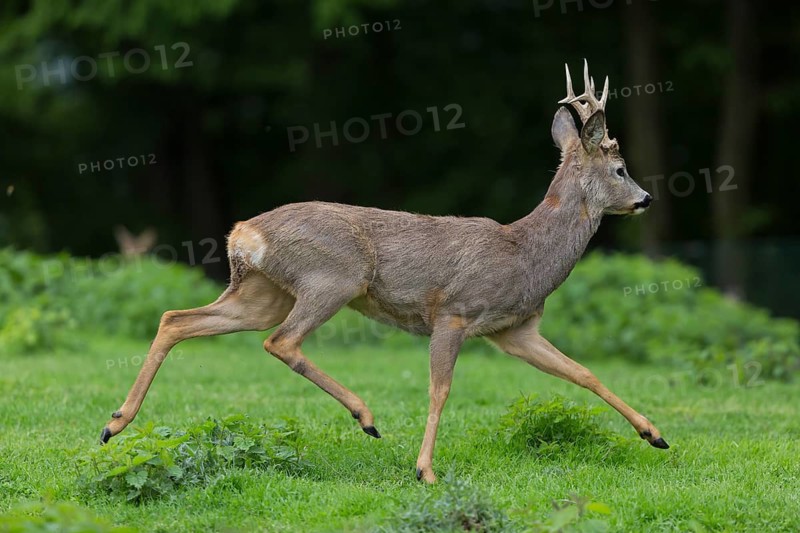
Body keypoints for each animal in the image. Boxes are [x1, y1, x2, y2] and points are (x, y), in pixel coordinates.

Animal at [100, 60, 666, 483]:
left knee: (177, 318)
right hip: (333, 278)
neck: (525, 253)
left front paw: (654, 434)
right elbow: (441, 389)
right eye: (620, 169)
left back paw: (115, 423)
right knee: (281, 342)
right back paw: (366, 417)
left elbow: (583, 372)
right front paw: (425, 471)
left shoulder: (514, 330)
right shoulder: (455, 313)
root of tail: (243, 234)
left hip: (261, 293)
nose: (645, 198)